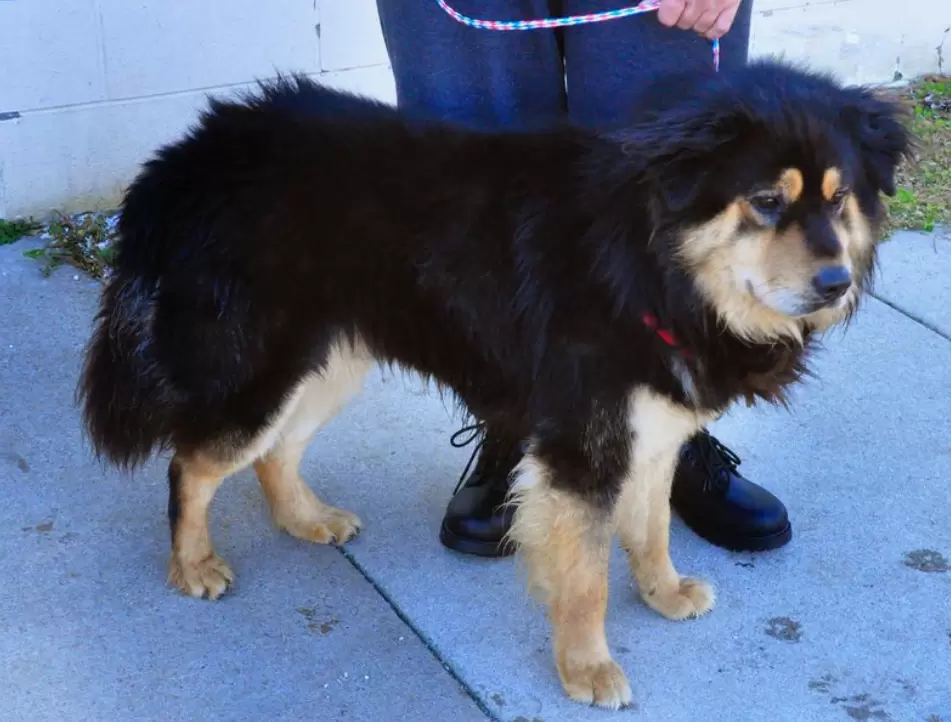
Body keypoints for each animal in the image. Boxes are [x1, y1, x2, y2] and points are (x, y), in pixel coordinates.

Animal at [78, 57, 912, 708]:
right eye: (765, 201)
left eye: (839, 197)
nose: (836, 283)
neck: (647, 263)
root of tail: (192, 150)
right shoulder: (583, 446)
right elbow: (585, 577)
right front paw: (586, 669)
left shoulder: (648, 425)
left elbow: (649, 527)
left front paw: (663, 591)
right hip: (260, 368)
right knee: (194, 462)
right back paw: (192, 565)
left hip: (330, 360)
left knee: (274, 453)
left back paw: (305, 518)